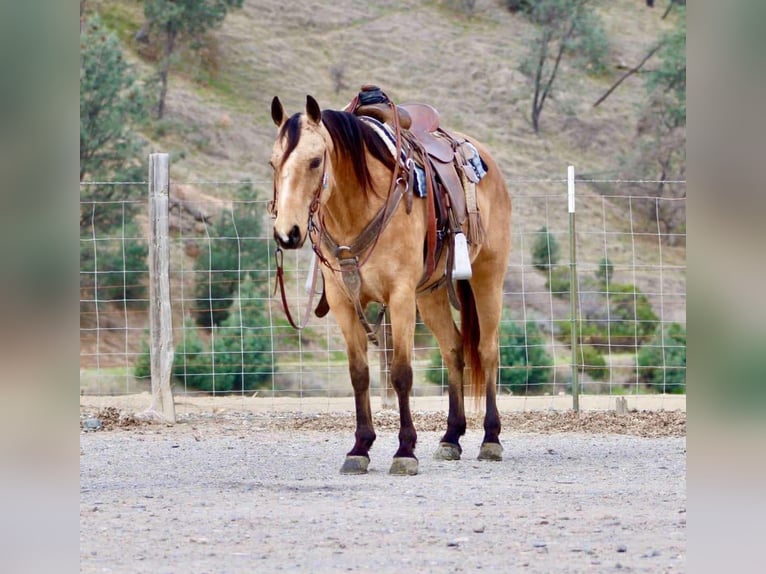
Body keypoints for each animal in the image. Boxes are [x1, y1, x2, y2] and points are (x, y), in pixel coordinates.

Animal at [269, 92, 512, 475]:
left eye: (315, 161)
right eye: (273, 162)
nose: (287, 233)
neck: (358, 208)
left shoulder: (399, 296)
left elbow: (400, 373)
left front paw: (405, 450)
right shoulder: (342, 301)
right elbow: (359, 373)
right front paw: (360, 447)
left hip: (488, 276)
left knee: (487, 350)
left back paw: (491, 438)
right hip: (430, 294)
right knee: (454, 349)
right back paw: (451, 437)